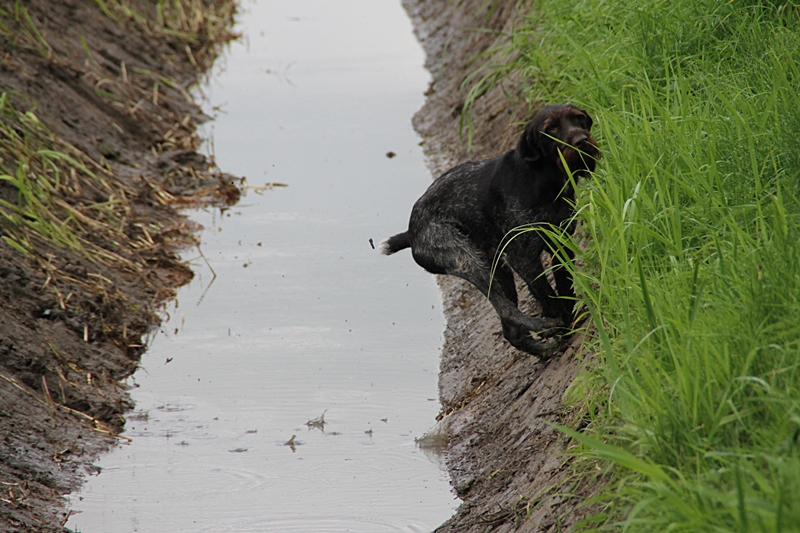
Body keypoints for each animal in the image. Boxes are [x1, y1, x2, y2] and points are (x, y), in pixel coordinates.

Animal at [382, 103, 600, 356]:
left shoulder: (561, 243)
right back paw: (545, 327)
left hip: (498, 267)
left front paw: (571, 319)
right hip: (468, 260)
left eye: (578, 118)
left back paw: (543, 349)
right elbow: (547, 294)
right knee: (506, 310)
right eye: (551, 128)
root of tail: (411, 232)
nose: (581, 140)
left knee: (511, 330)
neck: (544, 177)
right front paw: (563, 322)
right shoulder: (522, 258)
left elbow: (564, 283)